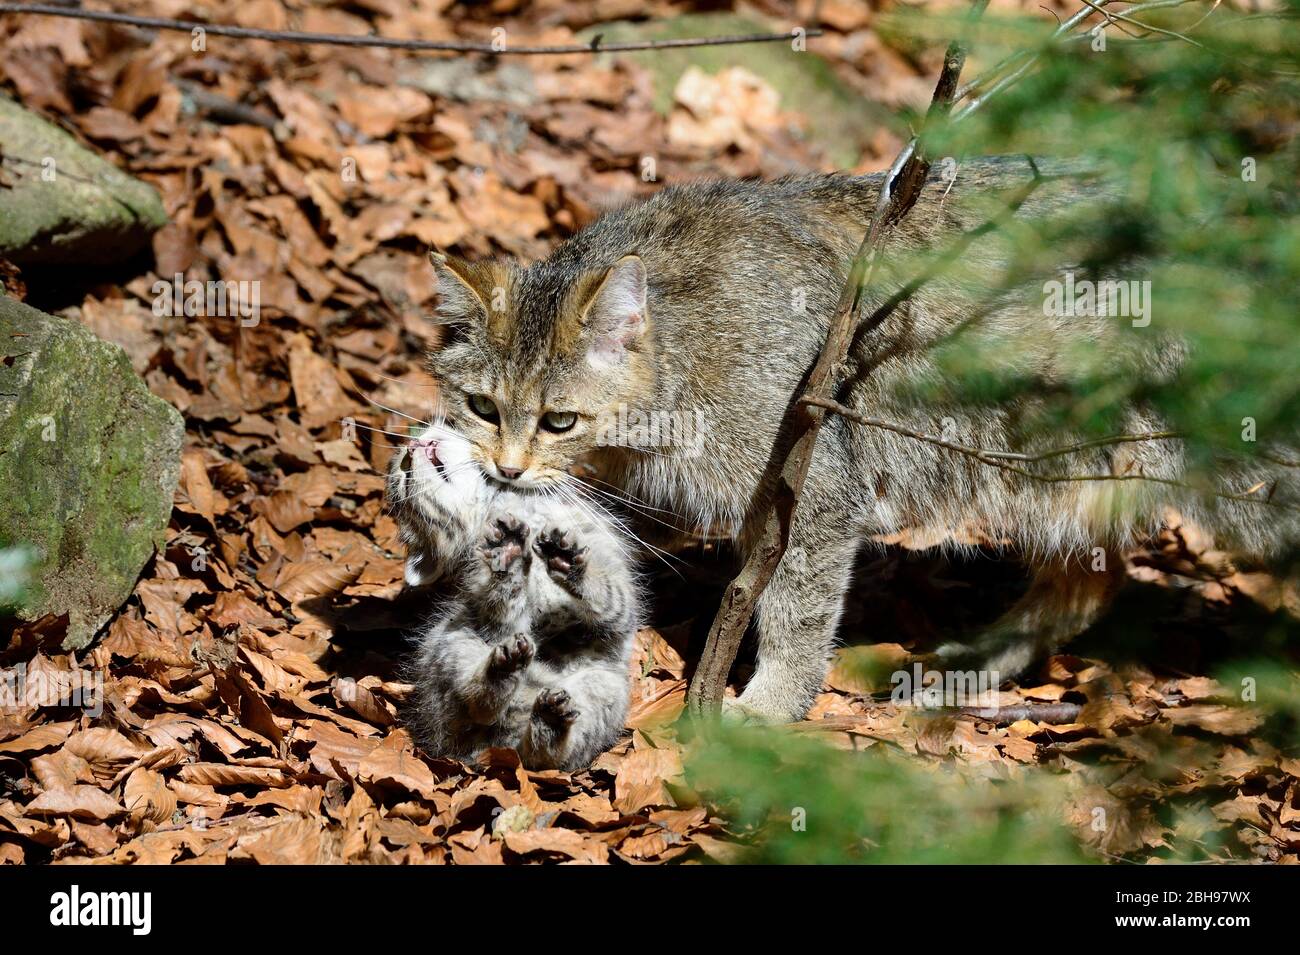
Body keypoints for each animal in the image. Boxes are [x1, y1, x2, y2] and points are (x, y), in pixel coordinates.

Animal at [384, 423, 639, 769]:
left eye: (403, 465)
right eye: (406, 474)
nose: (413, 446)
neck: (502, 501)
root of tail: (492, 747)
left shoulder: (619, 603)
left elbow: (606, 597)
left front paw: (567, 562)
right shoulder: (488, 608)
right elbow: (505, 603)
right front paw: (508, 559)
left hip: (603, 686)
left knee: (545, 757)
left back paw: (549, 721)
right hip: (453, 639)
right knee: (481, 704)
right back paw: (505, 669)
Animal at [421, 158, 1294, 722]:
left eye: (559, 420)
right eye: (481, 406)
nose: (507, 467)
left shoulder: (810, 496)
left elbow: (794, 610)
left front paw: (768, 704)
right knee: (1090, 580)